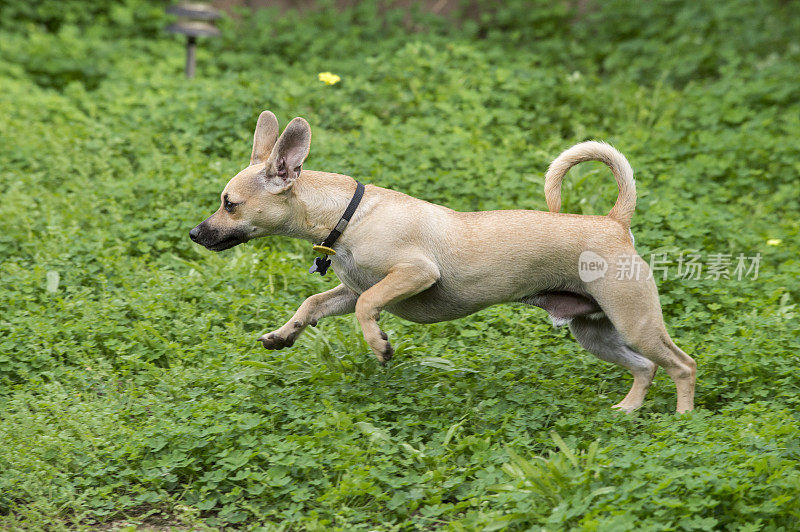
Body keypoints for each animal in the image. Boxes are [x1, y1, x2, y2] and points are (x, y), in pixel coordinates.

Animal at [191, 110, 696, 414]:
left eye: (230, 204)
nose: (195, 233)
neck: (347, 216)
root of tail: (614, 222)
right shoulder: (348, 289)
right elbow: (313, 304)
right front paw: (282, 335)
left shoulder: (412, 275)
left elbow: (367, 308)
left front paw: (380, 346)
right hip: (594, 332)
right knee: (646, 368)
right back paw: (628, 410)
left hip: (635, 321)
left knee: (681, 365)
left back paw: (682, 418)